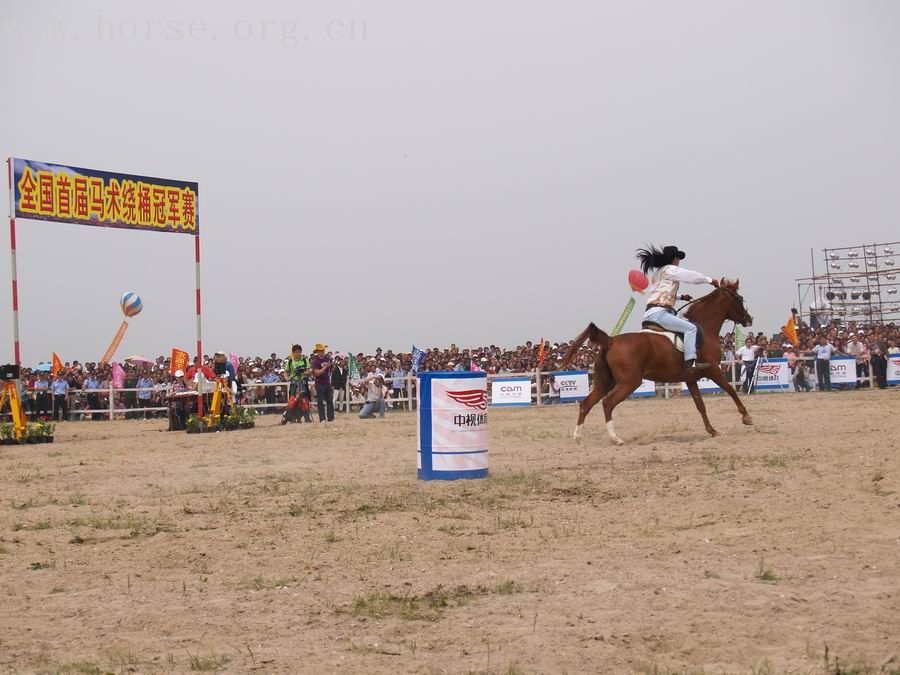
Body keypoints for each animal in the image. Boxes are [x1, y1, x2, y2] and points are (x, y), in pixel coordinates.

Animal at [564, 278, 752, 446]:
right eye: (739, 298)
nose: (749, 319)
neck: (704, 329)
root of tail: (610, 341)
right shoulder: (713, 370)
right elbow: (731, 390)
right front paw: (746, 417)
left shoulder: (691, 379)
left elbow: (700, 405)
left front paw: (712, 431)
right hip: (629, 382)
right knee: (608, 403)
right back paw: (615, 439)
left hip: (605, 382)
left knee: (586, 404)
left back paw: (578, 438)